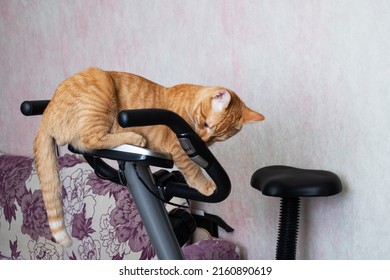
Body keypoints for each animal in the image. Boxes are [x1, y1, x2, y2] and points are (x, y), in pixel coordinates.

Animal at [34, 66, 266, 246]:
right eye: (206, 124)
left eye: (217, 137)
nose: (202, 139)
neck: (190, 102)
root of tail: (46, 113)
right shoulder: (177, 146)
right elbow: (192, 169)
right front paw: (206, 185)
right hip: (100, 84)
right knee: (89, 139)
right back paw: (134, 138)